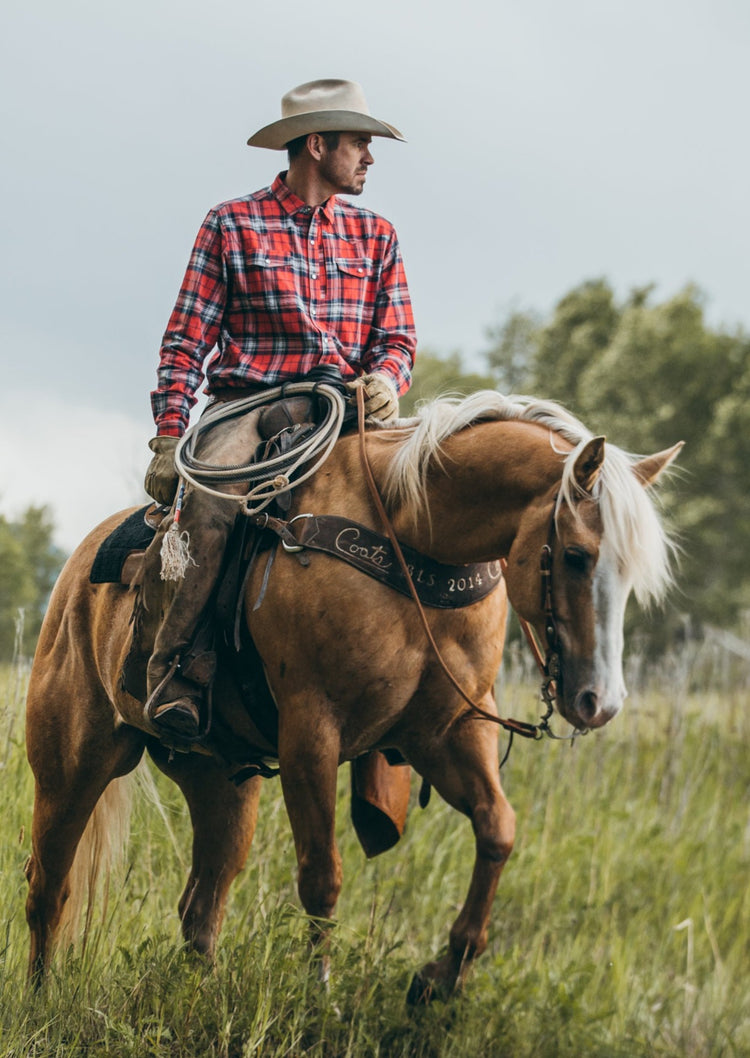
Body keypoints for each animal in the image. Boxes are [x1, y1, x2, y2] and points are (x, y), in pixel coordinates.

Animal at [23, 391, 681, 998]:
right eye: (575, 556)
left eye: (627, 572)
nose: (599, 701)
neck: (410, 538)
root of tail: (75, 574)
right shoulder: (310, 735)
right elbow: (322, 875)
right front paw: (319, 995)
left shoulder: (449, 733)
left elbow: (498, 828)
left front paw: (441, 978)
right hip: (73, 766)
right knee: (49, 887)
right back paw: (41, 1000)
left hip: (220, 782)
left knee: (200, 908)